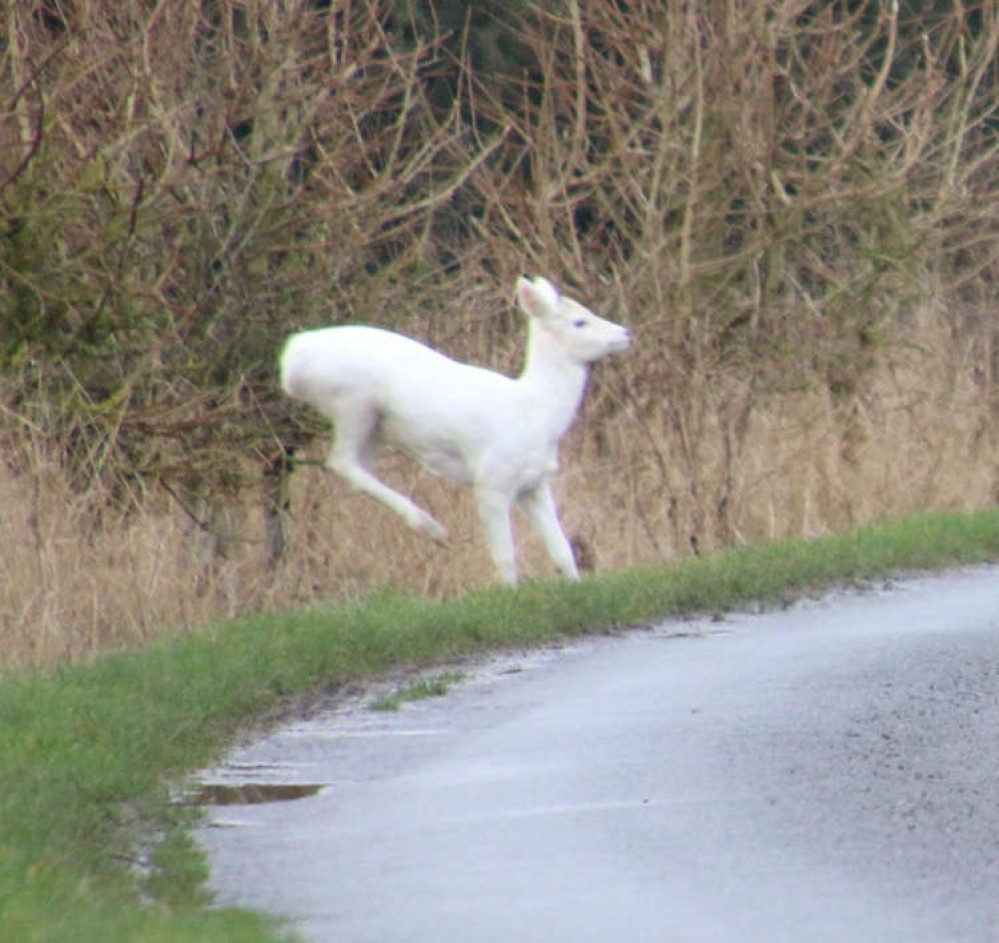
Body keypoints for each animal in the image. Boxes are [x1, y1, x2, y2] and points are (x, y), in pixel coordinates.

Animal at [278, 274, 628, 584]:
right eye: (580, 322)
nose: (625, 332)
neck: (535, 411)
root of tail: (290, 359)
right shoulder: (492, 481)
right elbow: (505, 557)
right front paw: (510, 593)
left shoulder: (535, 484)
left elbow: (563, 553)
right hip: (353, 402)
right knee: (342, 462)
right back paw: (431, 527)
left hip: (374, 425)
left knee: (357, 465)